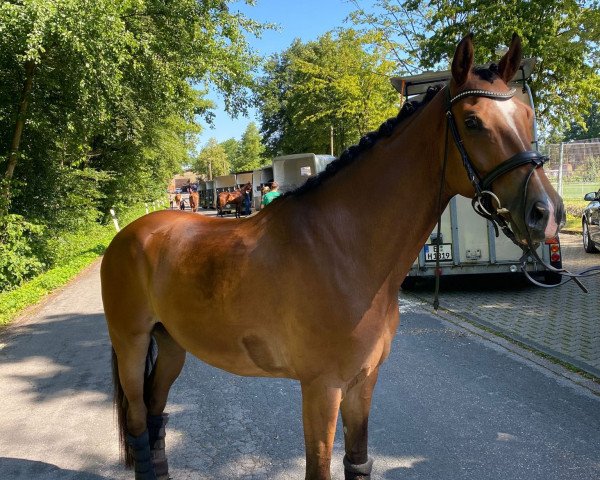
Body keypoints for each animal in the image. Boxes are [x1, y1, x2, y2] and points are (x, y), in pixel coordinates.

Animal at [101, 34, 564, 480]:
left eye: (527, 116)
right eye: (472, 121)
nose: (546, 213)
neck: (344, 249)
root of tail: (128, 235)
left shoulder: (363, 382)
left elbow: (358, 462)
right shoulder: (321, 387)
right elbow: (319, 469)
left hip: (171, 344)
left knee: (157, 418)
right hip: (131, 344)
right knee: (140, 423)